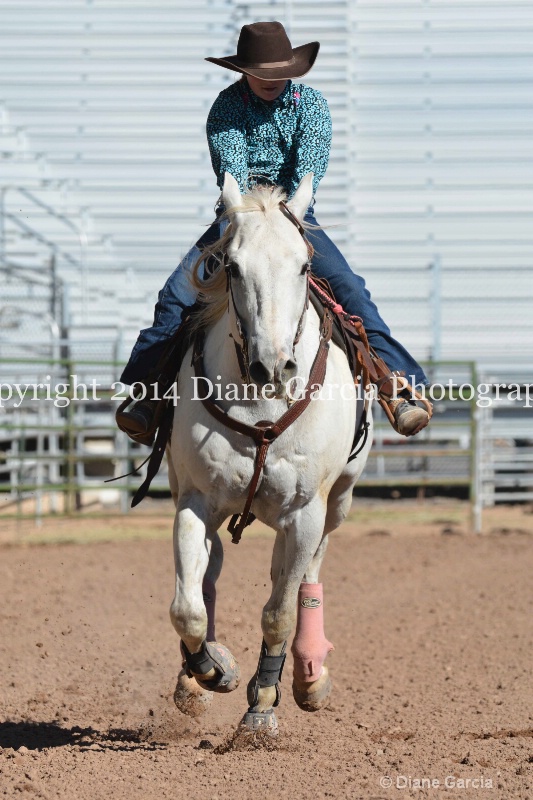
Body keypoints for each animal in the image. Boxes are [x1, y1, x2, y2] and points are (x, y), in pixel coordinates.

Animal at [168, 172, 372, 736]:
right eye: (231, 266)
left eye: (303, 265)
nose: (273, 366)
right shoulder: (194, 500)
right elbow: (187, 608)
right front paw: (212, 670)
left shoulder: (304, 513)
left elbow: (279, 611)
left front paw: (262, 704)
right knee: (211, 571)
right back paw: (196, 678)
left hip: (336, 503)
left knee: (307, 574)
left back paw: (308, 674)